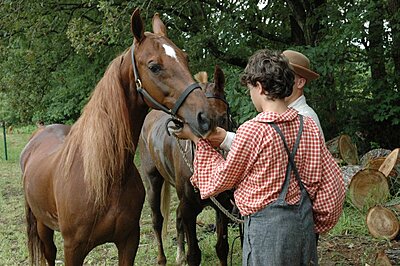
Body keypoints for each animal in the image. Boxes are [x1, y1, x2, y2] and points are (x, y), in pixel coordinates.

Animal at [20, 8, 217, 266]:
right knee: (49, 253)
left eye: (185, 58)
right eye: (154, 66)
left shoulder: (128, 241)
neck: (103, 176)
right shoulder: (73, 249)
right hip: (43, 226)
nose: (206, 117)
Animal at [140, 65, 236, 264]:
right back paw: (162, 259)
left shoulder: (222, 206)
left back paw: (179, 254)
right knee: (157, 221)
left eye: (223, 118)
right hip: (152, 183)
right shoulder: (189, 210)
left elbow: (222, 248)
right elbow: (194, 255)